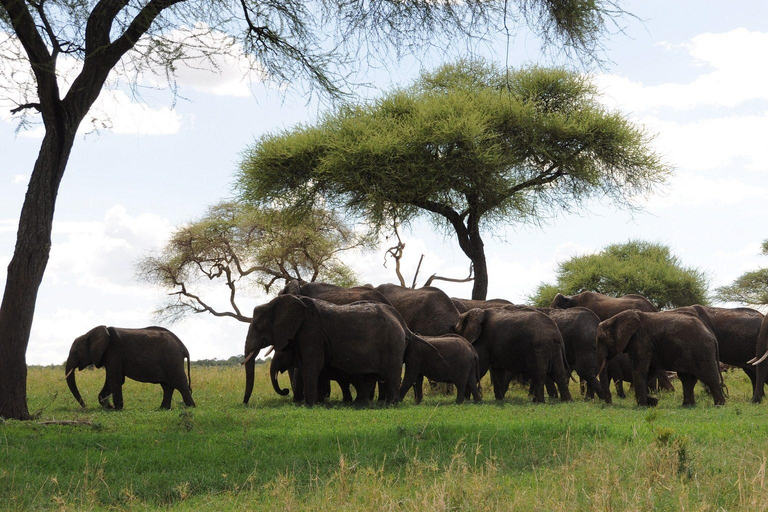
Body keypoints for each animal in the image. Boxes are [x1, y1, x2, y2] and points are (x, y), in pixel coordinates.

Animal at [64, 326, 195, 410]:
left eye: (75, 353)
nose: (85, 406)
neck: (89, 334)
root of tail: (184, 348)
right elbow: (114, 379)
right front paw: (109, 407)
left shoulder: (114, 353)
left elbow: (114, 379)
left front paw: (117, 408)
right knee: (167, 386)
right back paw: (163, 408)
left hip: (173, 360)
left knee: (180, 384)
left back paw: (191, 407)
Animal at [243, 294, 424, 406]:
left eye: (257, 326)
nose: (244, 404)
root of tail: (402, 323)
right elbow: (305, 366)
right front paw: (311, 403)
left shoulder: (311, 330)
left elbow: (311, 366)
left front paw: (309, 405)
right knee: (371, 377)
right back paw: (363, 404)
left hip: (393, 344)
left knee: (392, 375)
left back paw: (390, 404)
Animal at [592, 308, 728, 408]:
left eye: (602, 339)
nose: (610, 403)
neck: (616, 318)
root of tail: (712, 334)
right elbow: (649, 372)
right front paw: (651, 402)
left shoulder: (642, 341)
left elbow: (640, 370)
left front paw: (642, 405)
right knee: (687, 379)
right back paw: (687, 406)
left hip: (702, 351)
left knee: (709, 377)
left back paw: (719, 405)